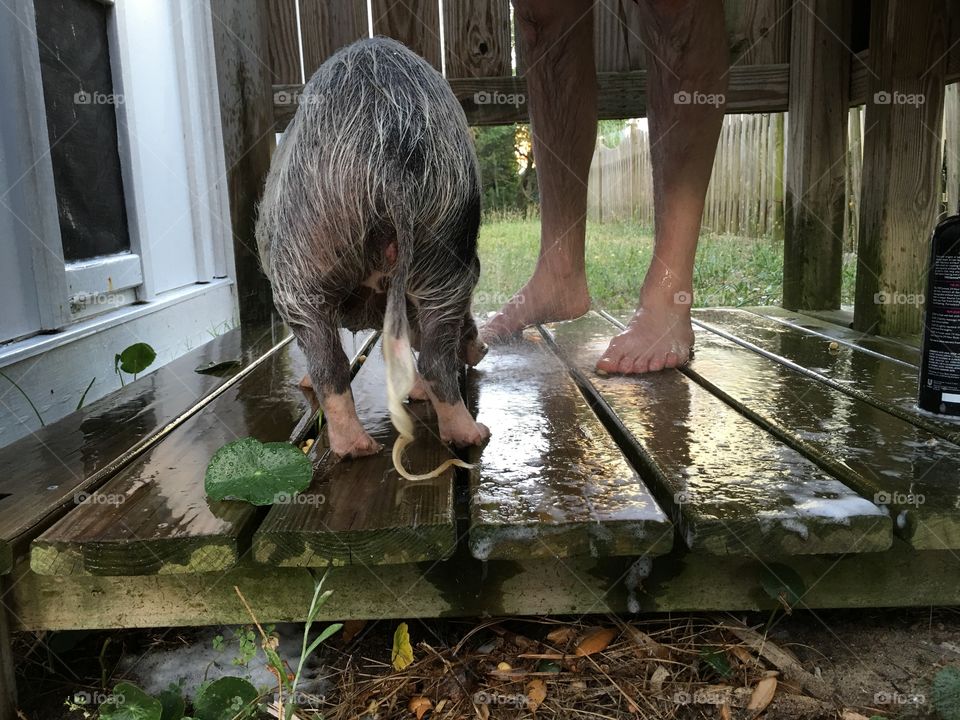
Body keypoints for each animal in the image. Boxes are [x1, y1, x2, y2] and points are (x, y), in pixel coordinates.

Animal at [255, 37, 490, 467]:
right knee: (425, 359)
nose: (483, 346)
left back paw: (361, 448)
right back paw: (467, 435)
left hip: (306, 254)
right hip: (445, 247)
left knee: (329, 360)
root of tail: (391, 152)